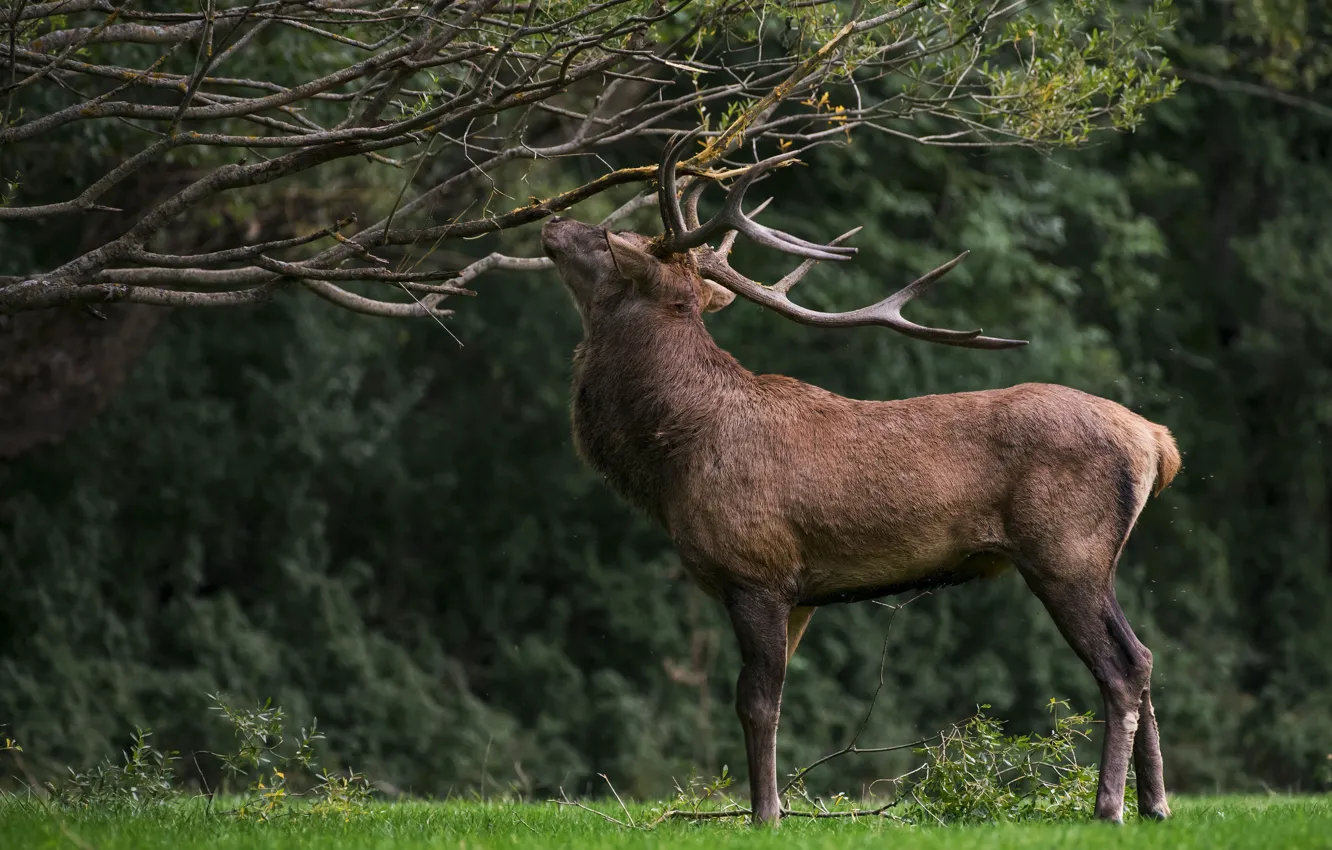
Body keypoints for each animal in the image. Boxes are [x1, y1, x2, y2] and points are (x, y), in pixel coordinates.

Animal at [539, 133, 1180, 827]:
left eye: (611, 241)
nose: (553, 220)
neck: (672, 458)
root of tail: (1156, 442)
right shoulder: (799, 595)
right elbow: (769, 701)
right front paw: (775, 808)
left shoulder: (757, 570)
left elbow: (755, 702)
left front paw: (765, 816)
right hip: (1093, 559)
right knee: (1144, 657)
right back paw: (1156, 803)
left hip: (1065, 551)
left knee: (1120, 669)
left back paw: (1110, 807)